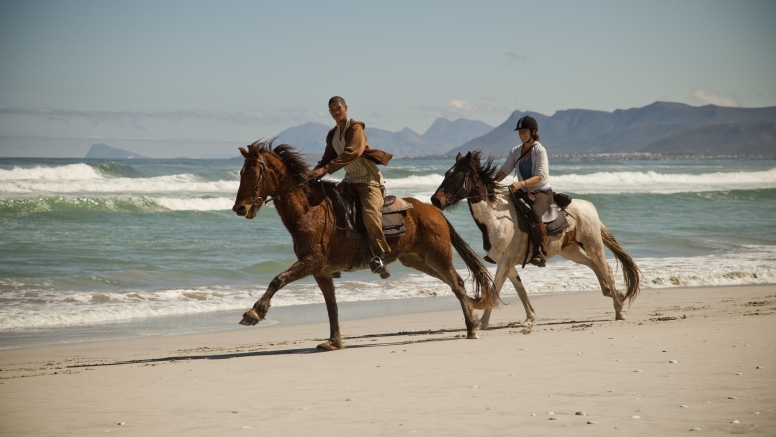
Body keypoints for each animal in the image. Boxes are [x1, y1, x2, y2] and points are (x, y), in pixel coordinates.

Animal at [230, 141, 498, 350]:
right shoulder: (321, 271)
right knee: (454, 284)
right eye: (241, 174)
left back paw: (472, 327)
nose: (239, 208)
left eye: (252, 173)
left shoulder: (311, 262)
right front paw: (334, 341)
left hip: (437, 257)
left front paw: (254, 313)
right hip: (418, 261)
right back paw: (472, 322)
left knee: (458, 283)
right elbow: (331, 306)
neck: (309, 210)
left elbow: (278, 279)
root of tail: (433, 209)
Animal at [428, 151, 640, 330]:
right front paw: (530, 318)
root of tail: (588, 206)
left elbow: (496, 290)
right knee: (593, 265)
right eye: (446, 173)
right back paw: (612, 293)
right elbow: (520, 289)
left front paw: (482, 323)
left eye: (457, 175)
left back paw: (619, 310)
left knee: (606, 269)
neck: (495, 218)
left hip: (592, 244)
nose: (435, 200)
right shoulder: (507, 263)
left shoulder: (504, 263)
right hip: (570, 251)